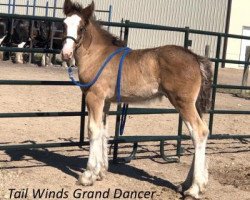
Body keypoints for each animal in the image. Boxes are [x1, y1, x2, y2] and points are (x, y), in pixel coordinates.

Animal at [61, 0, 212, 199]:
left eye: (82, 27)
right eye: (63, 24)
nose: (65, 54)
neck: (98, 55)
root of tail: (195, 58)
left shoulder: (94, 97)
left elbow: (93, 130)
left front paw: (87, 175)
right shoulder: (106, 101)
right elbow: (103, 131)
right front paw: (100, 172)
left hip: (183, 103)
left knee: (199, 132)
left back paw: (194, 189)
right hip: (193, 105)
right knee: (201, 132)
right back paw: (188, 183)